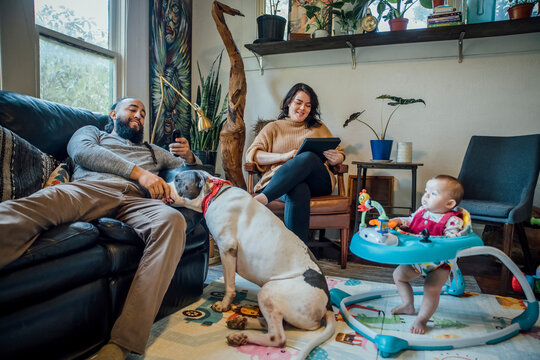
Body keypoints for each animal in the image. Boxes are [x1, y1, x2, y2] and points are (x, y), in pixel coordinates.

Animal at [169, 170, 336, 358]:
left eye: (177, 179)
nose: (164, 185)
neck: (214, 193)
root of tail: (328, 305)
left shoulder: (227, 248)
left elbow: (229, 285)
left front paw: (224, 305)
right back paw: (240, 324)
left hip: (268, 293)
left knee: (278, 338)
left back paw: (242, 335)